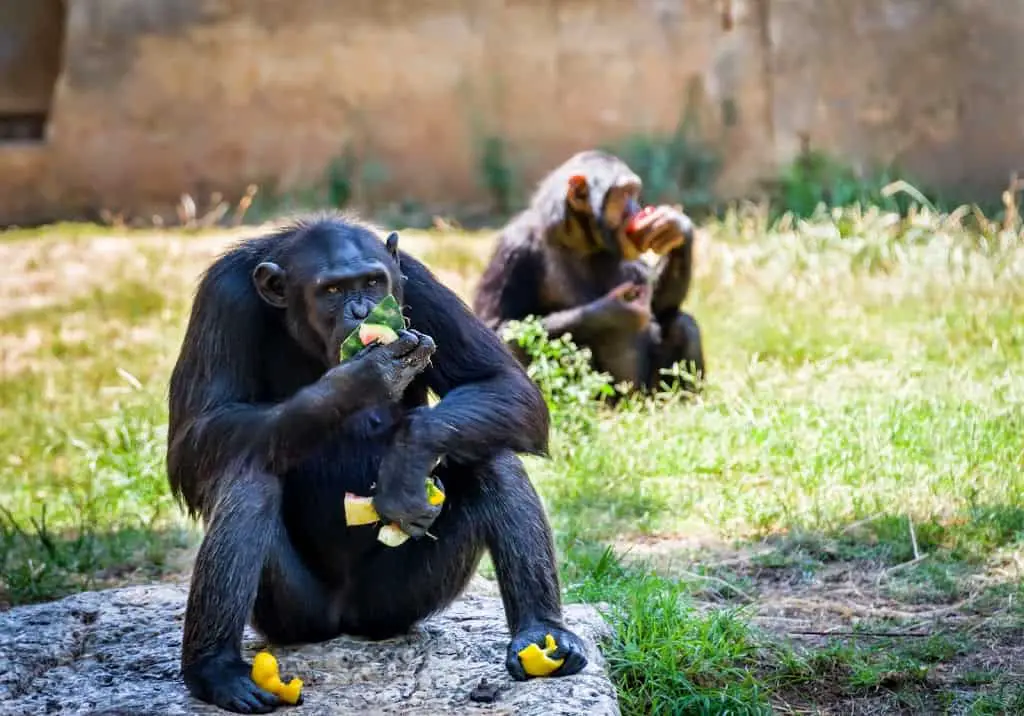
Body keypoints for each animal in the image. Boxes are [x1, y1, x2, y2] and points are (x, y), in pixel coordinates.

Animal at [164, 216, 589, 712]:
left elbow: (503, 383)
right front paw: (359, 380)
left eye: (372, 282)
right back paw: (216, 671)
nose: (363, 310)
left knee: (492, 456)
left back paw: (542, 632)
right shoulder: (222, 298)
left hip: (399, 602)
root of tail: (346, 622)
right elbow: (196, 434)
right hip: (293, 615)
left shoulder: (418, 282)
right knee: (249, 477)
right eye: (331, 290)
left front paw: (406, 461)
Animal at [471, 149, 704, 395]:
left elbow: (658, 306)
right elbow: (499, 326)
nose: (637, 209)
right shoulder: (515, 247)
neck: (578, 240)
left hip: (648, 392)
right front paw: (615, 311)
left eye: (634, 192)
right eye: (624, 194)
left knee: (683, 325)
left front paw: (675, 227)